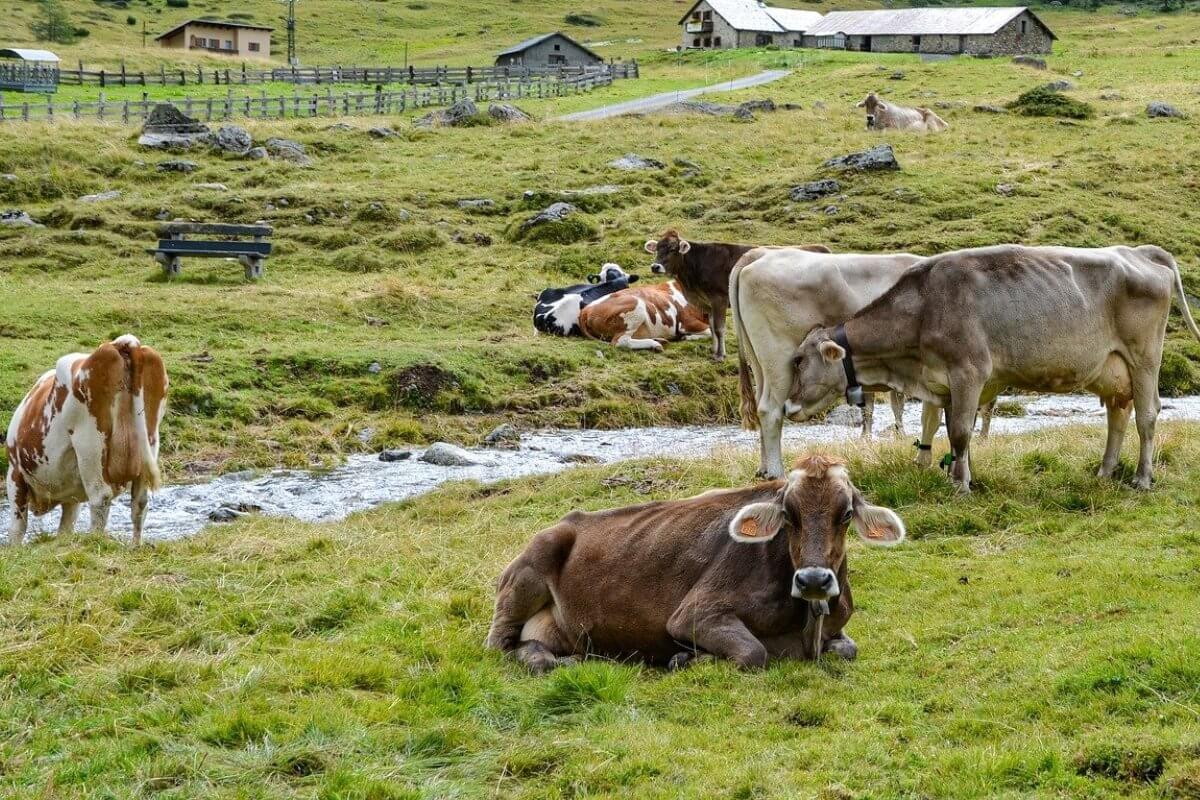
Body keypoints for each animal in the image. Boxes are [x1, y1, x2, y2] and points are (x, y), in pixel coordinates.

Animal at [5, 335, 169, 546]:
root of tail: (121, 342)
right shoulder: (71, 497)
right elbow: (66, 527)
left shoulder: (15, 473)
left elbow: (17, 527)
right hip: (149, 442)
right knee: (140, 502)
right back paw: (135, 546)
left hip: (90, 445)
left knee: (101, 497)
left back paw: (94, 540)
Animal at [482, 453, 902, 671]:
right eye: (788, 514)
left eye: (846, 514)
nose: (813, 580)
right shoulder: (694, 614)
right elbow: (754, 653)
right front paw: (686, 658)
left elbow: (849, 649)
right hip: (530, 567)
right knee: (498, 644)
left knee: (532, 645)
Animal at [573, 280, 705, 352]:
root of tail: (586, 310)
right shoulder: (687, 323)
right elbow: (707, 333)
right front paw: (688, 337)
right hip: (636, 307)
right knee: (620, 341)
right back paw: (655, 344)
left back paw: (659, 341)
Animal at [724, 247, 921, 479]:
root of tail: (760, 254)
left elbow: (889, 405)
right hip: (778, 360)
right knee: (769, 410)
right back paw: (776, 473)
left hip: (759, 363)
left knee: (759, 403)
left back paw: (764, 469)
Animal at [787, 247, 1200, 491]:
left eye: (800, 360)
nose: (789, 406)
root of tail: (1137, 251)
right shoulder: (948, 384)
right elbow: (956, 432)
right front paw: (961, 475)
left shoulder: (968, 372)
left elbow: (959, 433)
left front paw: (959, 486)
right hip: (1111, 369)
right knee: (1118, 415)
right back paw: (1104, 472)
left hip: (1144, 357)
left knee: (1146, 416)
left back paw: (1142, 478)